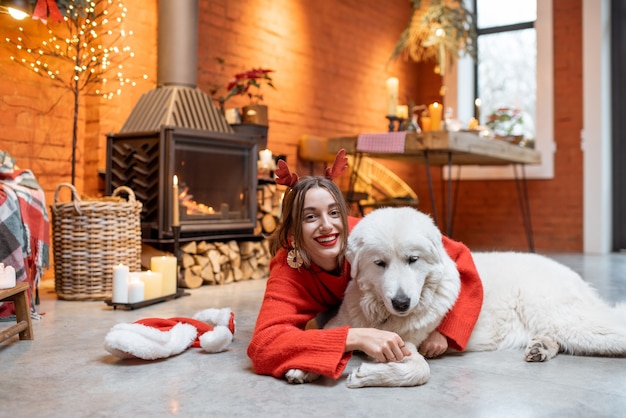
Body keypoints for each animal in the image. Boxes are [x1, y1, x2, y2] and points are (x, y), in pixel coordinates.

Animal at [286, 207, 624, 386]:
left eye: (413, 260)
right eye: (379, 263)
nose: (401, 303)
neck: (382, 316)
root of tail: (571, 273)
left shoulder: (409, 345)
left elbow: (419, 369)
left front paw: (366, 374)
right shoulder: (343, 323)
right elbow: (327, 340)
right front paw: (304, 365)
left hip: (569, 321)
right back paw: (540, 348)